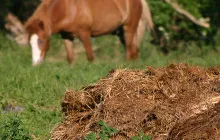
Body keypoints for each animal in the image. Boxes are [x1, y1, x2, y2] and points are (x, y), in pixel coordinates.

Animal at [25, 0, 153, 65]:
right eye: (30, 43)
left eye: (41, 41)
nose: (35, 63)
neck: (67, 8)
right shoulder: (66, 36)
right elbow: (70, 58)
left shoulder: (84, 34)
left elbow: (90, 57)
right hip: (121, 33)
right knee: (134, 50)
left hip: (129, 28)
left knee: (128, 51)